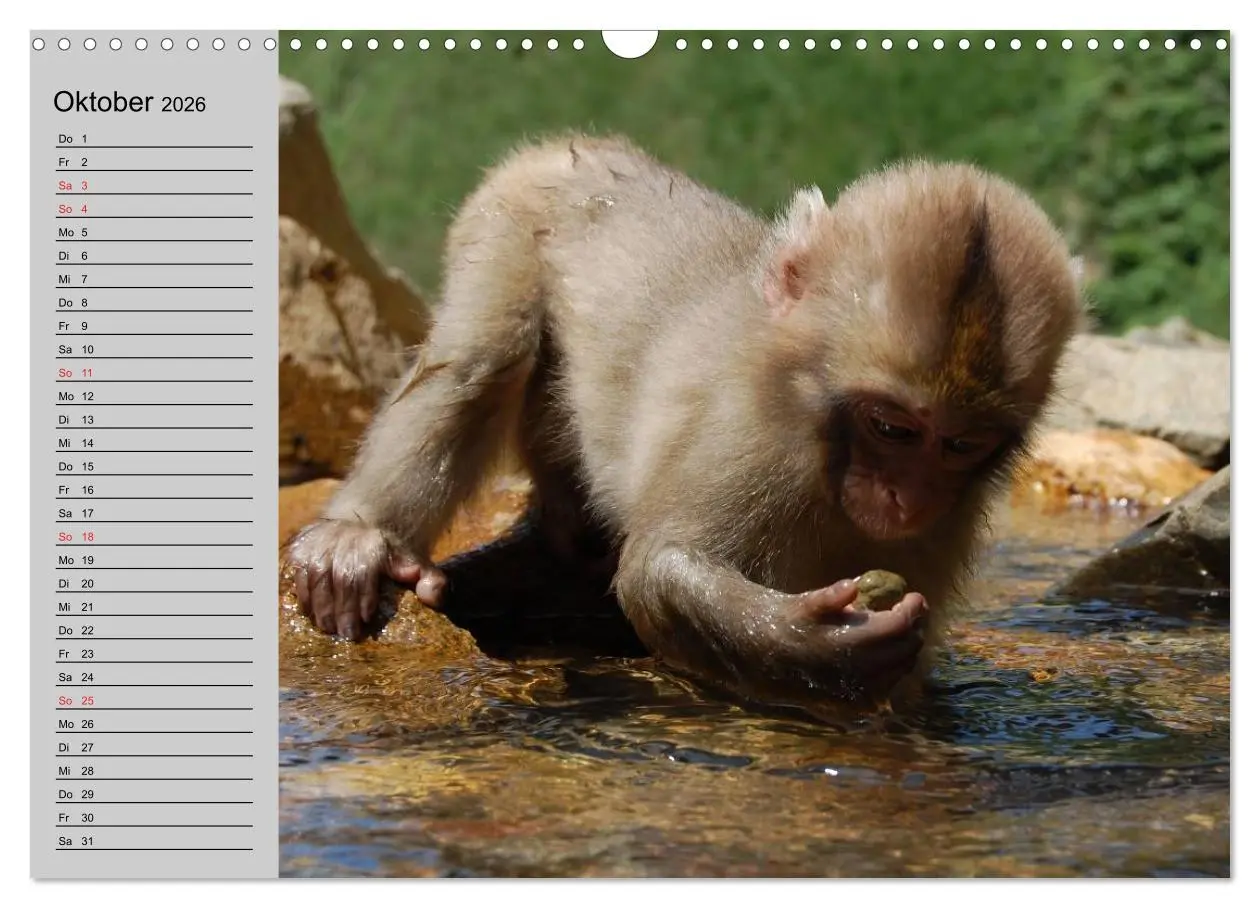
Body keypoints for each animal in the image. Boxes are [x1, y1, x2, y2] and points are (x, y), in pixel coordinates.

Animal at [287, 134, 1084, 708]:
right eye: (892, 428)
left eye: (959, 444)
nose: (905, 498)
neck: (818, 436)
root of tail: (570, 145)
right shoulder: (746, 429)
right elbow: (657, 568)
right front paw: (811, 643)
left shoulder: (946, 523)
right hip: (501, 225)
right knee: (481, 359)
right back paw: (361, 535)